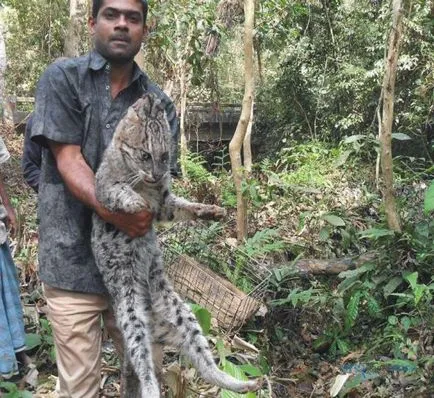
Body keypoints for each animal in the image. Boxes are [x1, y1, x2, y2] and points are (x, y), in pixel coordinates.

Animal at [91, 94, 262, 398]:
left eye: (164, 156)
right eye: (145, 155)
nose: (158, 175)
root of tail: (155, 322)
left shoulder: (164, 207)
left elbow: (184, 206)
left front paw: (210, 211)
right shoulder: (103, 187)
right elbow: (120, 190)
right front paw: (135, 201)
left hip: (186, 317)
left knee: (206, 365)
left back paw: (242, 383)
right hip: (131, 315)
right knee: (144, 367)